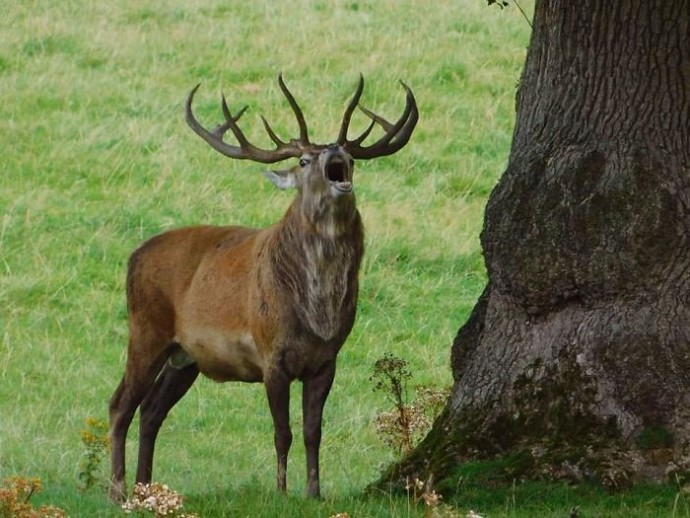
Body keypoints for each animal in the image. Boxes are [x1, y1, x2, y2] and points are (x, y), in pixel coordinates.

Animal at [109, 74, 414, 504]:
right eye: (303, 161)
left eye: (352, 158)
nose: (334, 150)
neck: (318, 312)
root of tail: (133, 257)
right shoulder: (272, 355)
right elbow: (282, 433)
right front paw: (282, 491)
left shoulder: (327, 359)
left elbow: (313, 432)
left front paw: (315, 492)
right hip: (146, 329)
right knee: (120, 404)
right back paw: (117, 491)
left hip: (185, 356)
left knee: (151, 410)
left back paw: (144, 487)